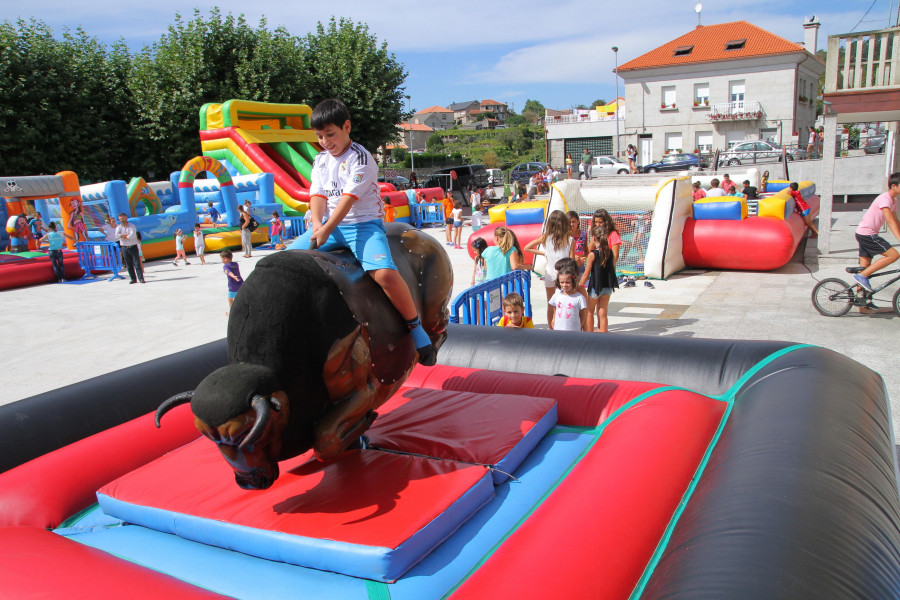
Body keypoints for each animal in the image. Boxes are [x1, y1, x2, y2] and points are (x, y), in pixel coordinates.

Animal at [155, 223, 454, 490]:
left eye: (245, 435)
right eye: (209, 438)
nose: (248, 482)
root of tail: (422, 234)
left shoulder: (362, 390)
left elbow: (324, 439)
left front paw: (365, 423)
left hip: (434, 306)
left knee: (439, 324)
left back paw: (427, 349)